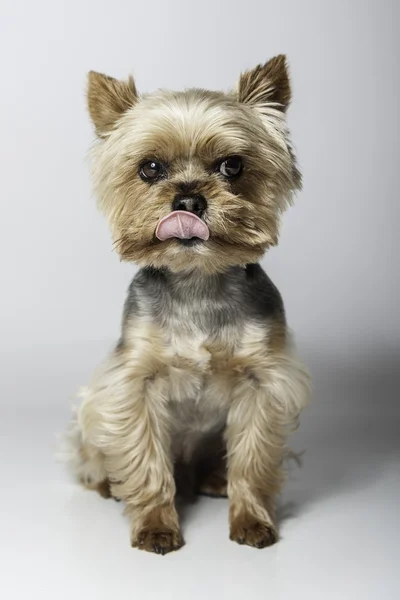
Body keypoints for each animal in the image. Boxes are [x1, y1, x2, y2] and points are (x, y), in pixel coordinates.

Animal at [61, 55, 312, 552]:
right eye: (150, 167)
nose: (188, 199)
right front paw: (155, 525)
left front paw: (252, 521)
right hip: (95, 412)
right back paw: (107, 481)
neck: (197, 279)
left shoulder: (263, 381)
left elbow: (253, 458)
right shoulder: (133, 383)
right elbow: (145, 460)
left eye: (232, 166)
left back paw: (215, 479)